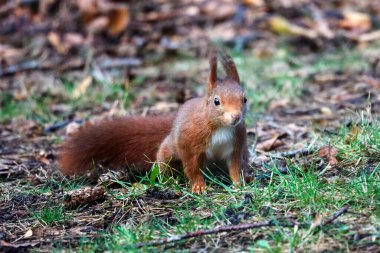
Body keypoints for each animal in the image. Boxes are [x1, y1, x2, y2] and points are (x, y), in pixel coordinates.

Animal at [58, 51, 249, 194]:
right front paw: (198, 186)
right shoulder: (189, 142)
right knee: (165, 163)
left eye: (245, 99)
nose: (236, 117)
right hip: (168, 151)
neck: (221, 127)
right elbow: (191, 167)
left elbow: (235, 166)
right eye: (217, 101)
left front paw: (239, 184)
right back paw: (169, 180)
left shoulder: (235, 145)